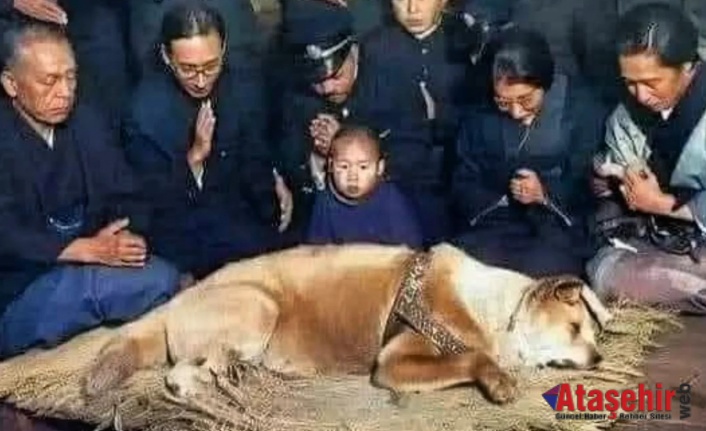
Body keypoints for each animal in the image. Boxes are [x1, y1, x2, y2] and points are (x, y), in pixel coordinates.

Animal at [84, 246, 612, 404]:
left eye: (592, 332)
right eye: (573, 328)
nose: (600, 358)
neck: (498, 310)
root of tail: (176, 300)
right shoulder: (395, 362)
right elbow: (472, 357)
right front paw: (498, 379)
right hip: (258, 306)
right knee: (182, 374)